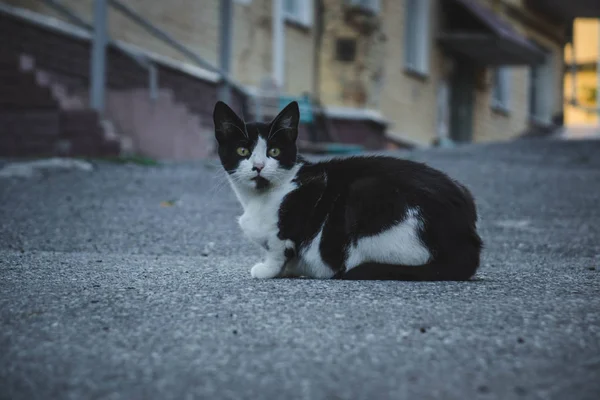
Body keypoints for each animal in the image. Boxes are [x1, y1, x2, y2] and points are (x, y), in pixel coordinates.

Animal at [212, 100, 482, 282]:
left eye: (274, 152)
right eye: (243, 151)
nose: (258, 167)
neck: (259, 198)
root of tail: (467, 237)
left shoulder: (291, 224)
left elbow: (279, 248)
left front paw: (268, 269)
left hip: (366, 193)